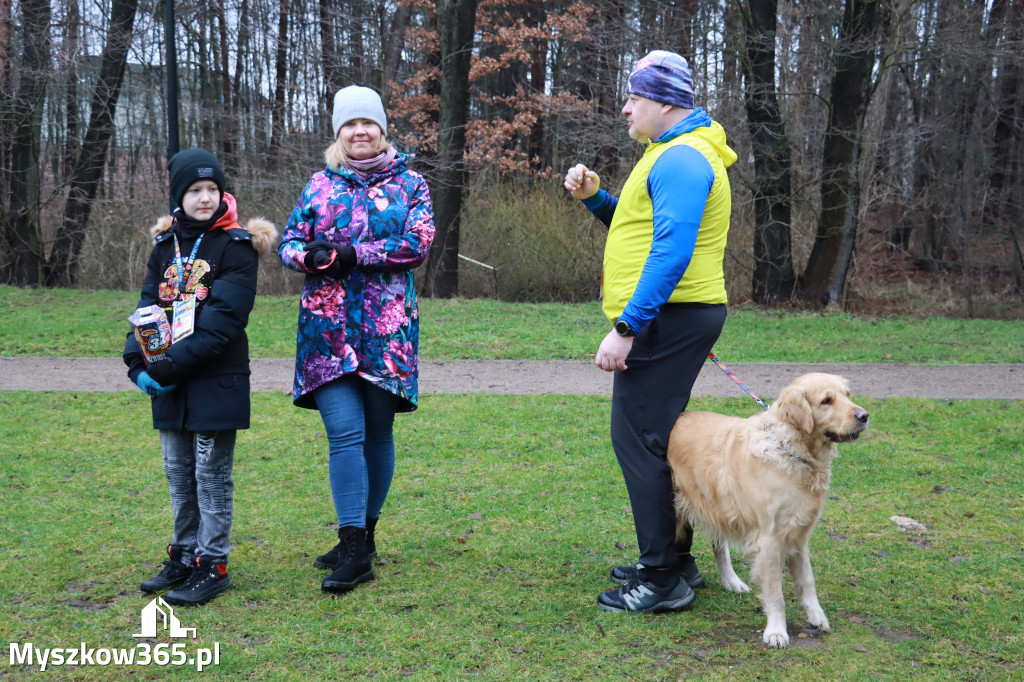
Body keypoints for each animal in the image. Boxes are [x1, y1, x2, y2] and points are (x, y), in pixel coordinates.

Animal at [667, 374, 868, 647]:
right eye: (826, 400)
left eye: (847, 395)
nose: (864, 416)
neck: (794, 453)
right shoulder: (771, 539)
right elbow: (775, 593)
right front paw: (776, 632)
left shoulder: (799, 534)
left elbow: (807, 581)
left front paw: (817, 617)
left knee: (720, 546)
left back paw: (731, 581)